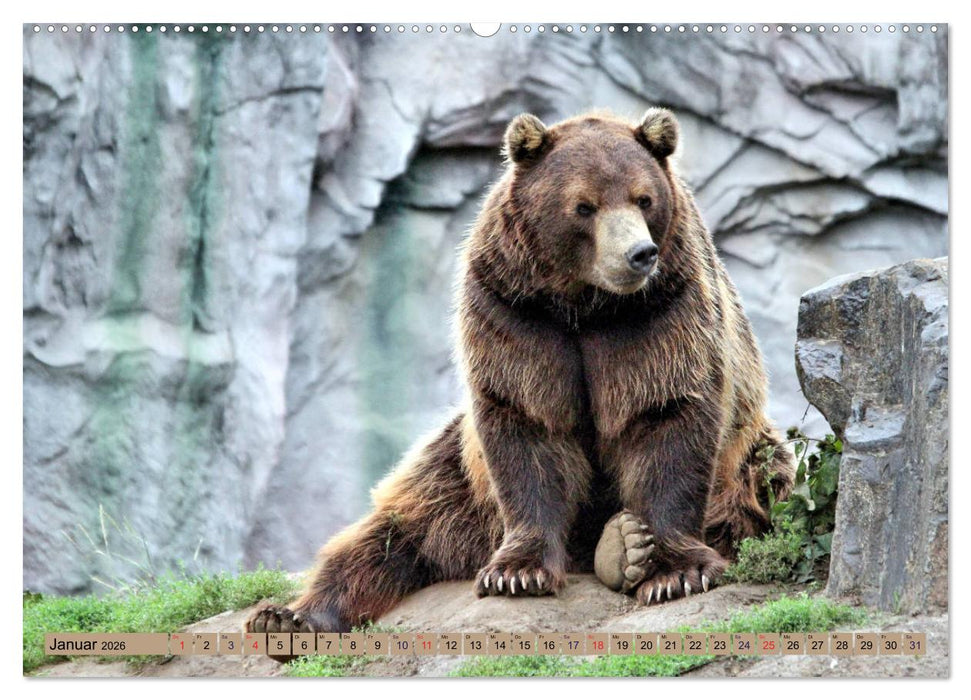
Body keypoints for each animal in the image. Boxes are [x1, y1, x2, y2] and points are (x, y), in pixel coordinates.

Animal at [246, 108, 796, 637]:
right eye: (584, 205)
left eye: (644, 199)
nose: (639, 255)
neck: (585, 304)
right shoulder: (514, 311)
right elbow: (528, 425)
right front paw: (517, 573)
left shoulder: (661, 311)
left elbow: (666, 415)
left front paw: (675, 572)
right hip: (457, 481)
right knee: (388, 533)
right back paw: (289, 616)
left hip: (749, 456)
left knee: (757, 484)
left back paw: (622, 547)